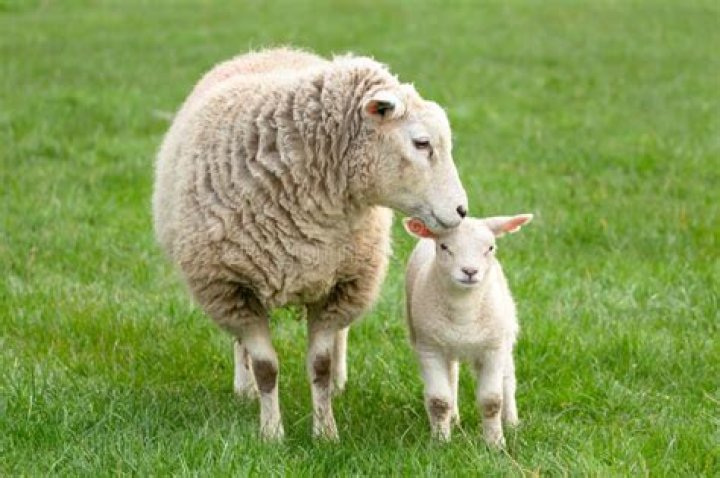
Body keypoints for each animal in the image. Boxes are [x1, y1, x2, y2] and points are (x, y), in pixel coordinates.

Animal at [152, 47, 468, 441]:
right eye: (421, 143)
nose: (462, 210)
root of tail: (272, 50)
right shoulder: (231, 287)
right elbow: (265, 367)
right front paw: (272, 434)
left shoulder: (340, 286)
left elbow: (320, 364)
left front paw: (326, 432)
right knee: (240, 344)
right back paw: (245, 388)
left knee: (340, 337)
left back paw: (337, 384)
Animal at [403, 213, 533, 445]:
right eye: (444, 246)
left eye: (490, 247)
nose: (470, 271)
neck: (464, 310)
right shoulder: (429, 348)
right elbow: (439, 400)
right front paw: (441, 442)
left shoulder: (493, 348)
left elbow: (492, 401)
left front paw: (496, 444)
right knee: (452, 377)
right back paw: (453, 419)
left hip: (505, 333)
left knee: (508, 378)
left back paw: (511, 423)